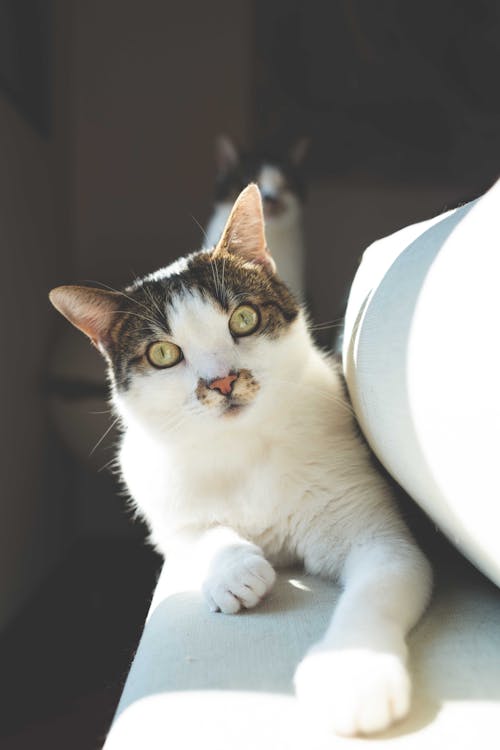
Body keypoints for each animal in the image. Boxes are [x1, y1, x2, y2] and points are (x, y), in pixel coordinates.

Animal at [48, 184, 432, 740]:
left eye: (244, 319)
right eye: (162, 354)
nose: (223, 381)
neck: (244, 446)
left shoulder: (374, 529)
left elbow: (383, 579)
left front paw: (353, 675)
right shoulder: (163, 506)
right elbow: (196, 534)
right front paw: (234, 568)